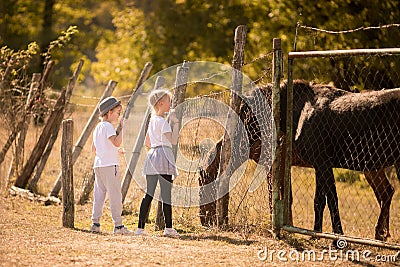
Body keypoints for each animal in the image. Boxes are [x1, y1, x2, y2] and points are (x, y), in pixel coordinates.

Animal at [199, 80, 400, 243]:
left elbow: (321, 199)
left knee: (385, 193)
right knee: (386, 192)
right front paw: (308, 232)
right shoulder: (309, 164)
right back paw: (380, 234)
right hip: (372, 166)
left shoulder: (288, 163)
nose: (204, 219)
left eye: (204, 182)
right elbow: (309, 200)